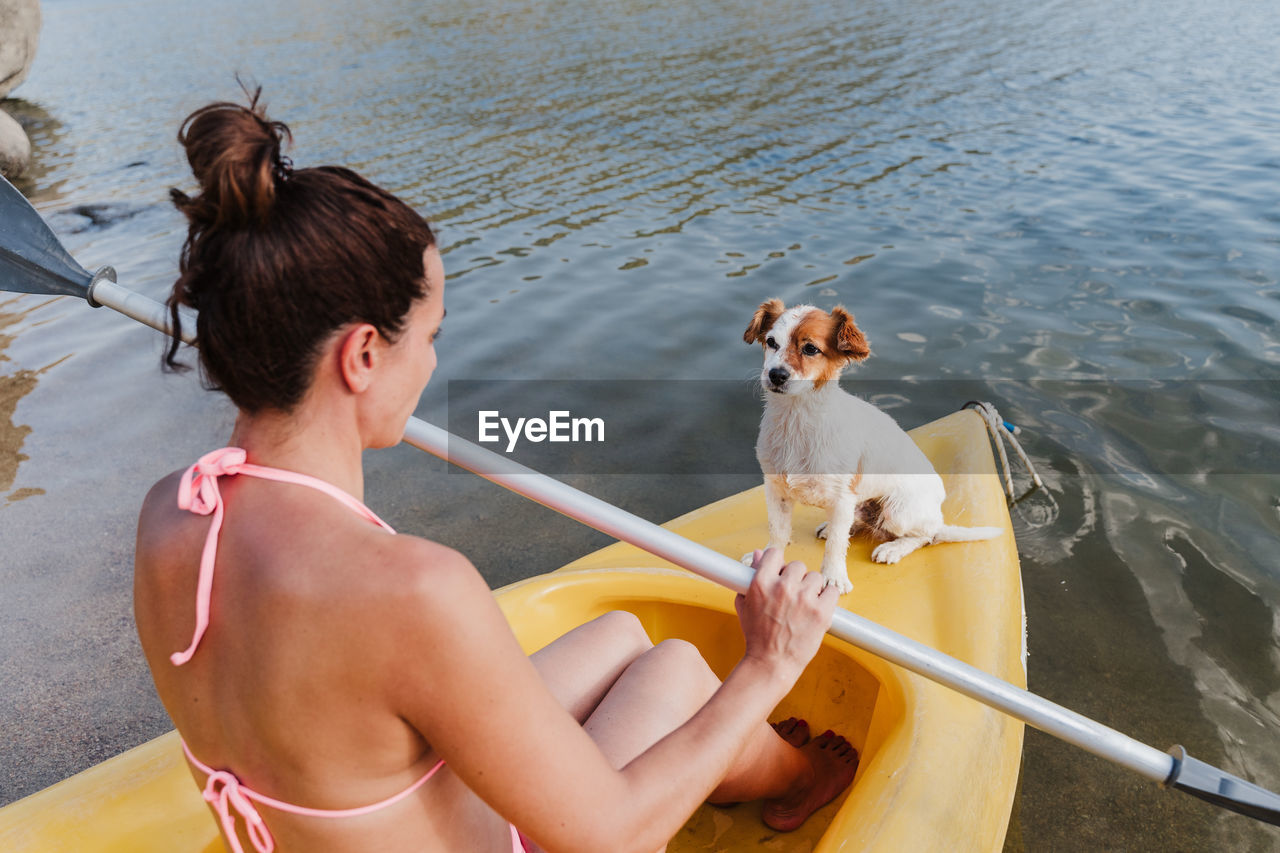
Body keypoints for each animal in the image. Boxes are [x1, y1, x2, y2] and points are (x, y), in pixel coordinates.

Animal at [747, 298, 1003, 591]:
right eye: (771, 342)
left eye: (810, 348)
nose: (775, 375)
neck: (796, 420)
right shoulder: (776, 489)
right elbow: (778, 533)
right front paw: (767, 561)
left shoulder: (842, 496)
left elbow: (836, 546)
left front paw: (833, 578)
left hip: (898, 511)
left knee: (927, 536)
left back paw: (893, 548)